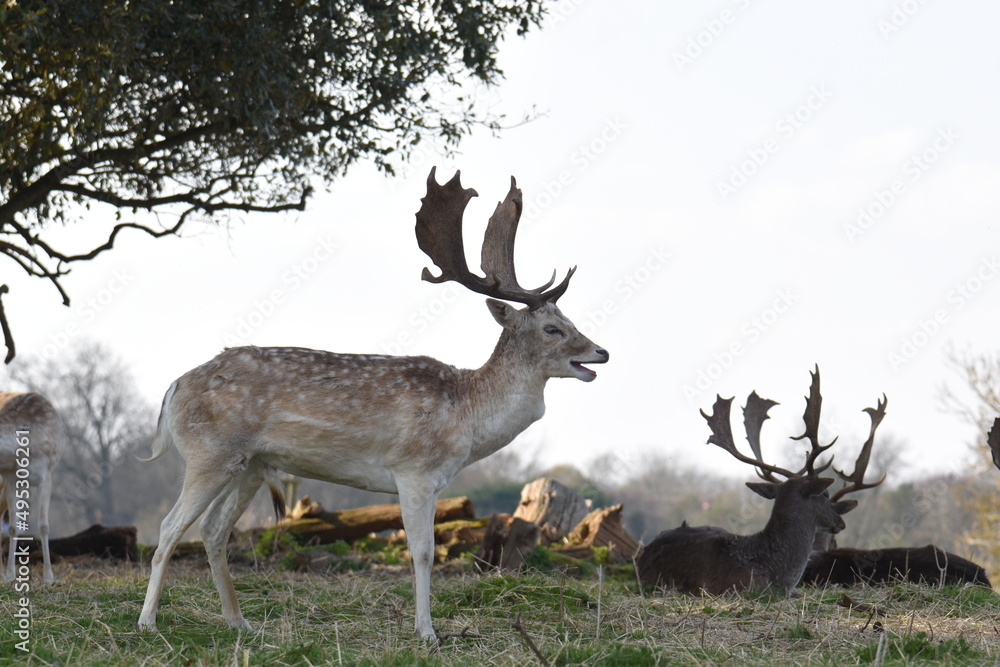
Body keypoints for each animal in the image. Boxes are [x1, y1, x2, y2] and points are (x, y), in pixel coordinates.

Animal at [0, 392, 65, 585]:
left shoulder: (46, 476)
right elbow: (13, 527)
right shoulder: (10, 479)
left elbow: (43, 525)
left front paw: (48, 577)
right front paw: (9, 575)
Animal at [137, 168, 609, 639]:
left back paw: (240, 623)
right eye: (552, 329)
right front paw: (427, 633)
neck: (466, 417)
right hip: (209, 452)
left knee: (213, 530)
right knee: (168, 527)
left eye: (569, 321)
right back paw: (148, 622)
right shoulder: (413, 470)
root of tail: (173, 388)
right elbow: (423, 552)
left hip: (250, 463)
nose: (601, 352)